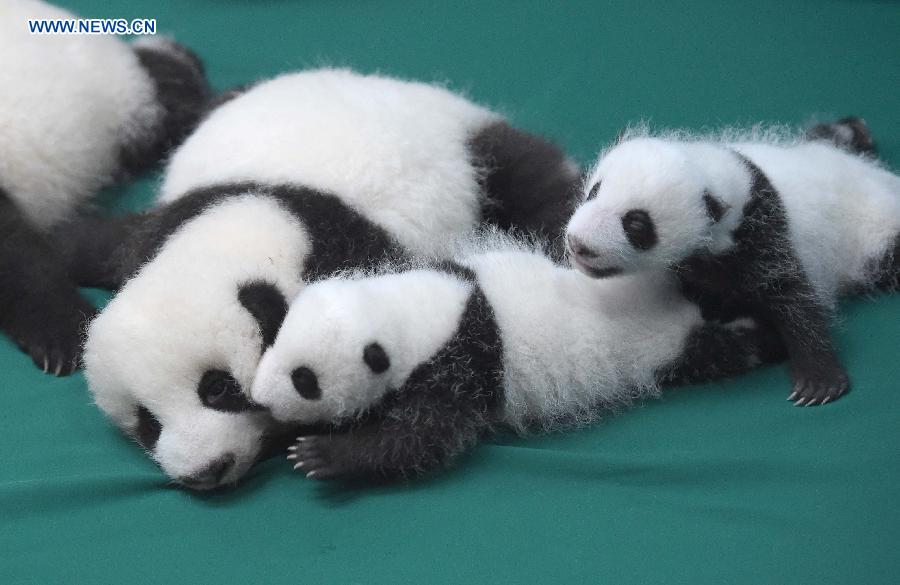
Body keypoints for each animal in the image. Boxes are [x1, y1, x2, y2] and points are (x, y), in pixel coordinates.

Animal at [81, 69, 581, 490]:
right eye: (147, 423)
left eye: (218, 389)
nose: (206, 471)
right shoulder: (167, 222)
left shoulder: (366, 265)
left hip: (472, 156)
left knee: (530, 178)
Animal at [248, 234, 784, 481]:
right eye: (275, 342)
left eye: (304, 379)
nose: (259, 398)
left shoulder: (459, 366)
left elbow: (424, 438)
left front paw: (322, 454)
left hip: (668, 347)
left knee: (717, 350)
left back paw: (760, 334)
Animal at [564, 123, 900, 407]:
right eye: (594, 191)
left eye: (636, 224)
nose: (578, 243)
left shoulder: (763, 236)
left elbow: (793, 297)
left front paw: (818, 381)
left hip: (872, 234)